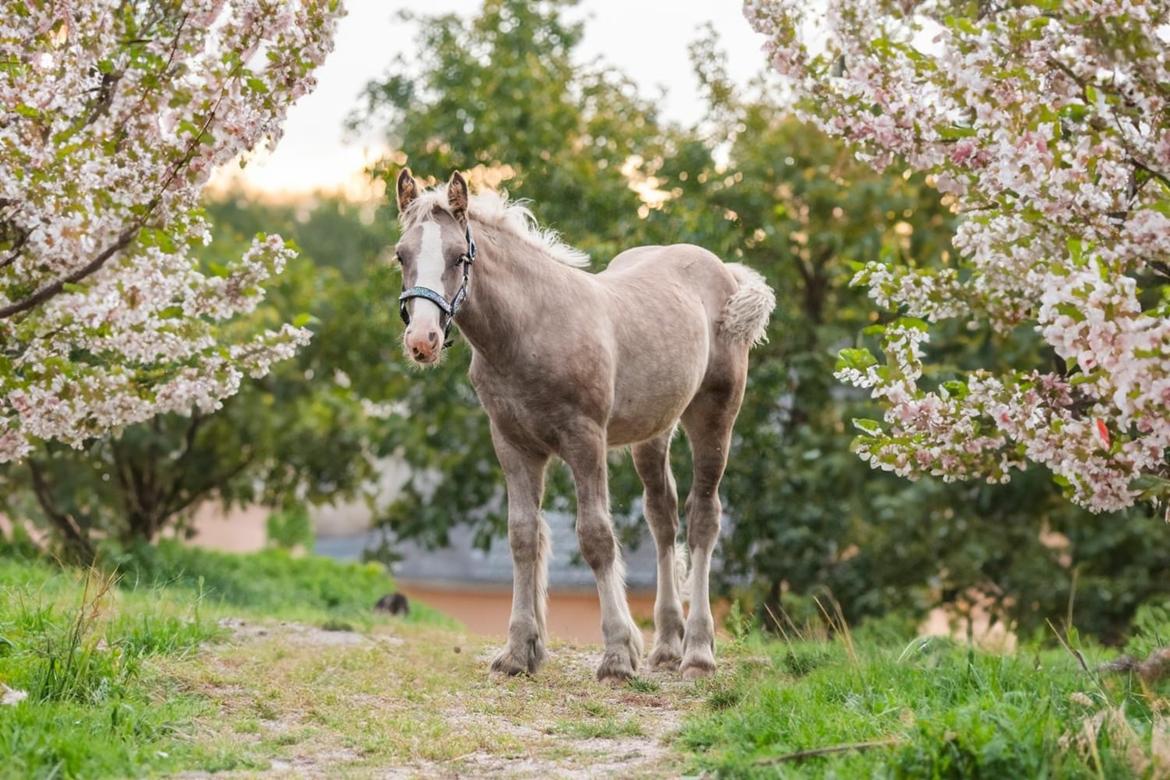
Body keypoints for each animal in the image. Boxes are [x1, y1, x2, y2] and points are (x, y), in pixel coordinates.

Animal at [393, 170, 776, 682]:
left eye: (459, 256)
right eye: (402, 254)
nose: (423, 340)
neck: (531, 329)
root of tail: (727, 274)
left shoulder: (584, 440)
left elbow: (595, 536)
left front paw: (616, 655)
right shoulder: (512, 444)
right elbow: (523, 537)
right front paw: (519, 652)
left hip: (715, 416)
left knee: (703, 520)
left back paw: (697, 652)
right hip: (652, 433)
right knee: (663, 517)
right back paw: (666, 646)